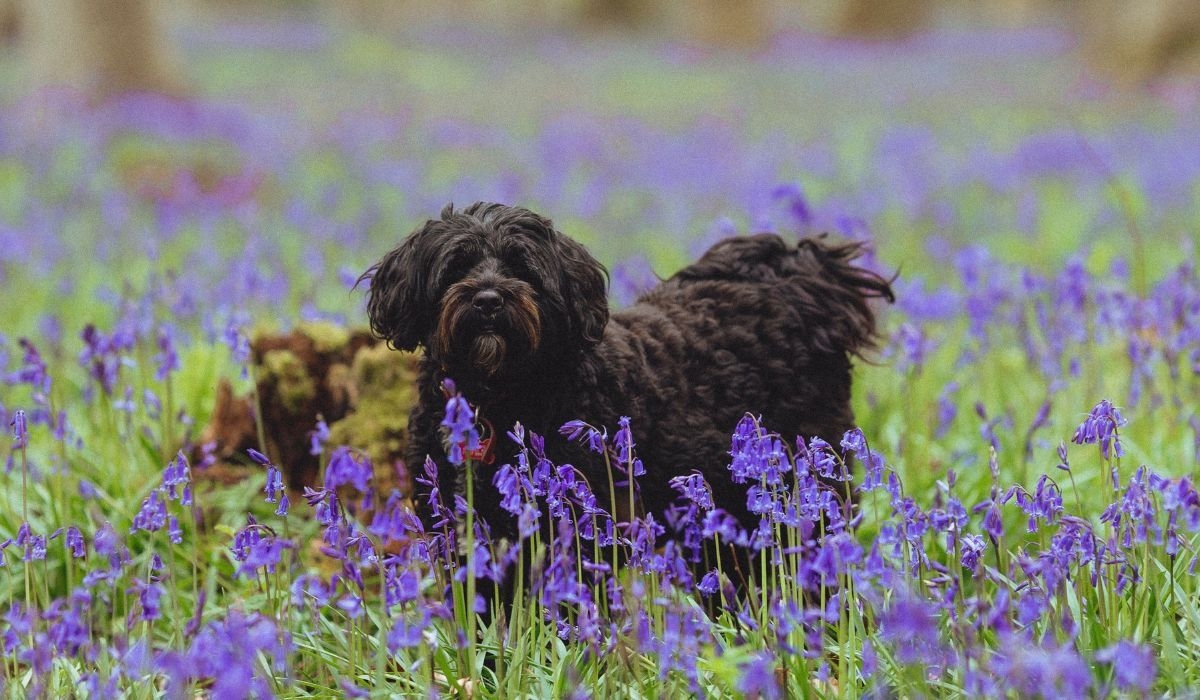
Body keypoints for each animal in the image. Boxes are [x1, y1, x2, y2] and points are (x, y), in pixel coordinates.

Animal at [360, 202, 897, 547]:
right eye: (457, 266)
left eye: (523, 268)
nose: (489, 299)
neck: (495, 396)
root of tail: (795, 285)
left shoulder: (584, 518)